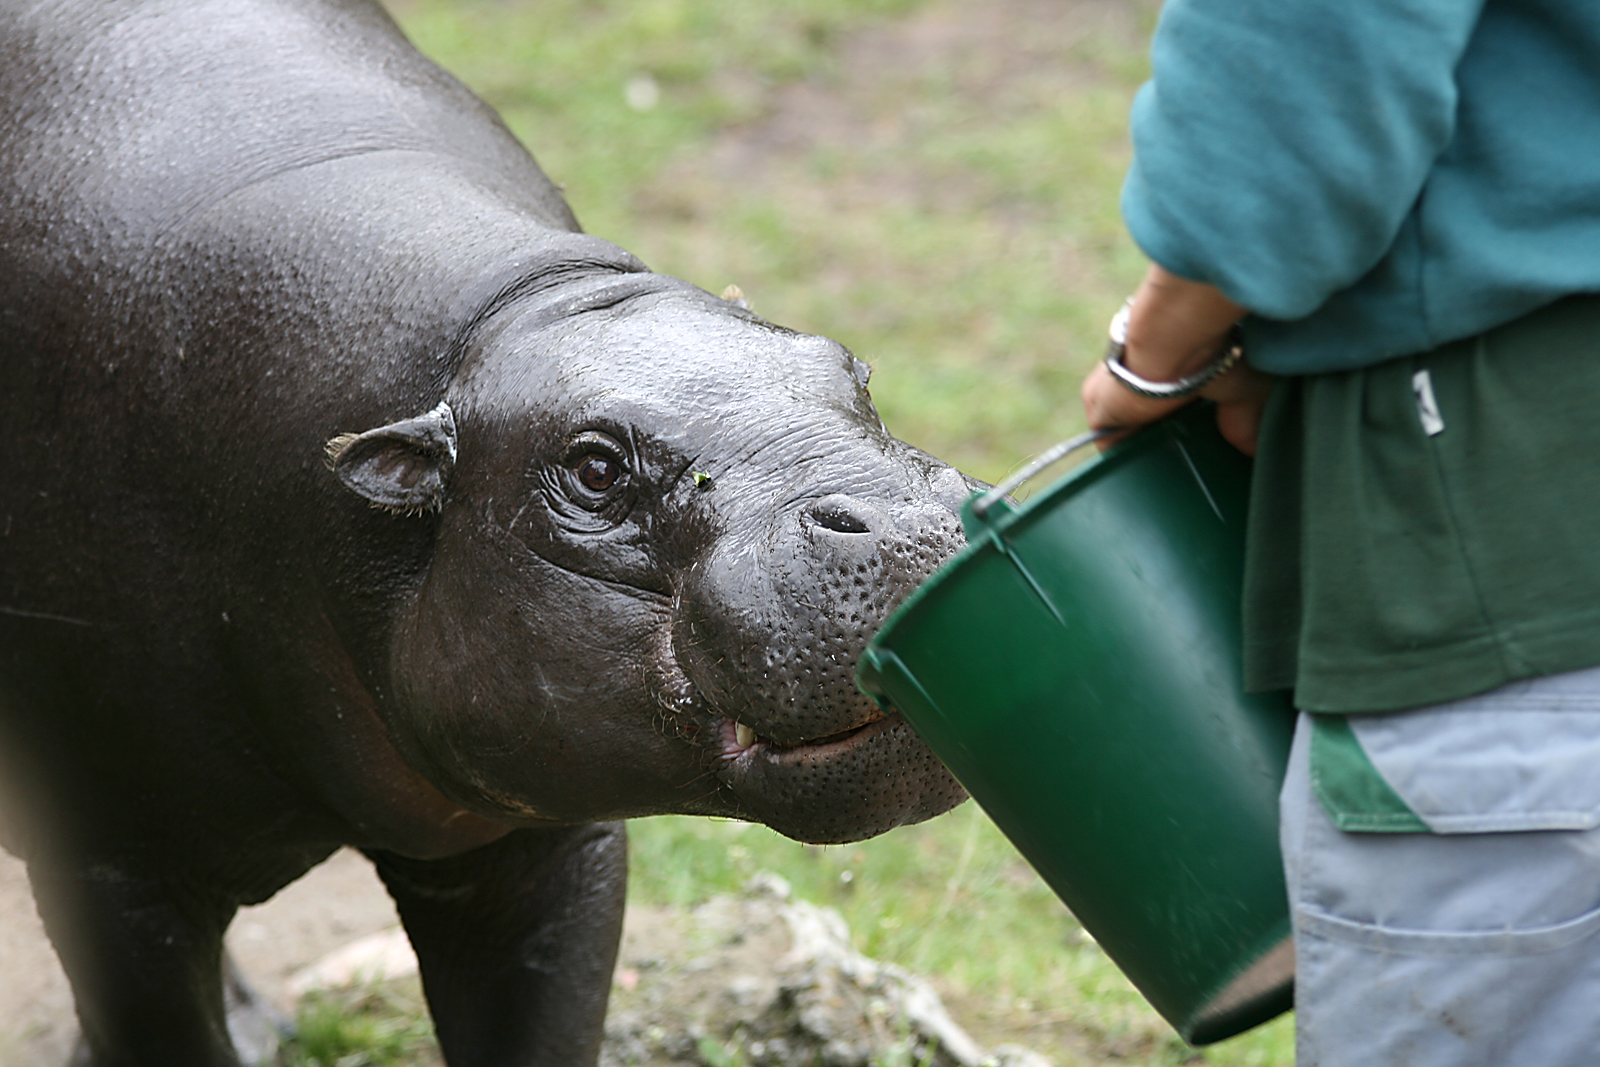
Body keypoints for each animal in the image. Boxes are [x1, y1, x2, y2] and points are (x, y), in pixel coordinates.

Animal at [0, 1, 975, 1064]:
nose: (903, 523)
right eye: (594, 468)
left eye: (850, 367)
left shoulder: (540, 833)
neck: (496, 323)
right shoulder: (111, 867)